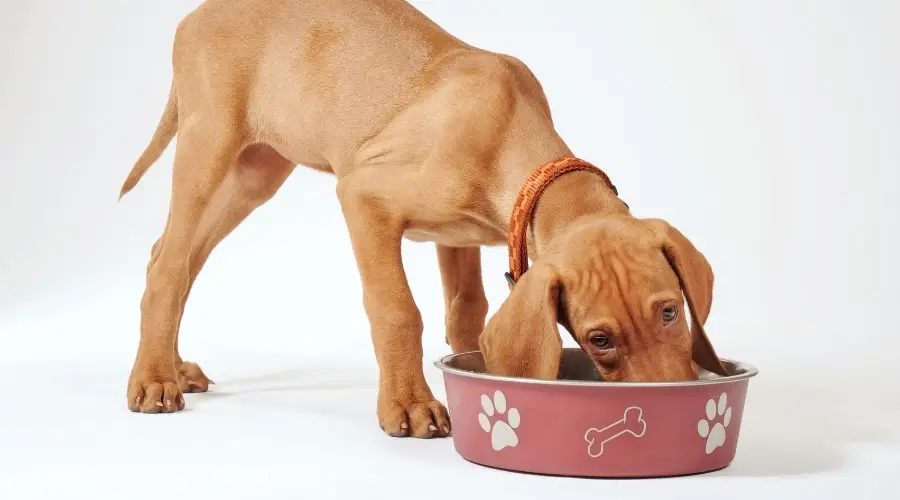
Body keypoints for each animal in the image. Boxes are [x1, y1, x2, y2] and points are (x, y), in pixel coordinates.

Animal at [119, 0, 728, 438]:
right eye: (599, 339)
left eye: (670, 311)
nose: (670, 410)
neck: (511, 132)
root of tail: (196, 13)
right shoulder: (362, 196)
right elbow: (397, 309)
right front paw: (409, 405)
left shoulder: (459, 238)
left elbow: (467, 312)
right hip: (208, 146)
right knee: (169, 266)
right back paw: (154, 379)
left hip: (256, 173)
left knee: (171, 257)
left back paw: (172, 365)